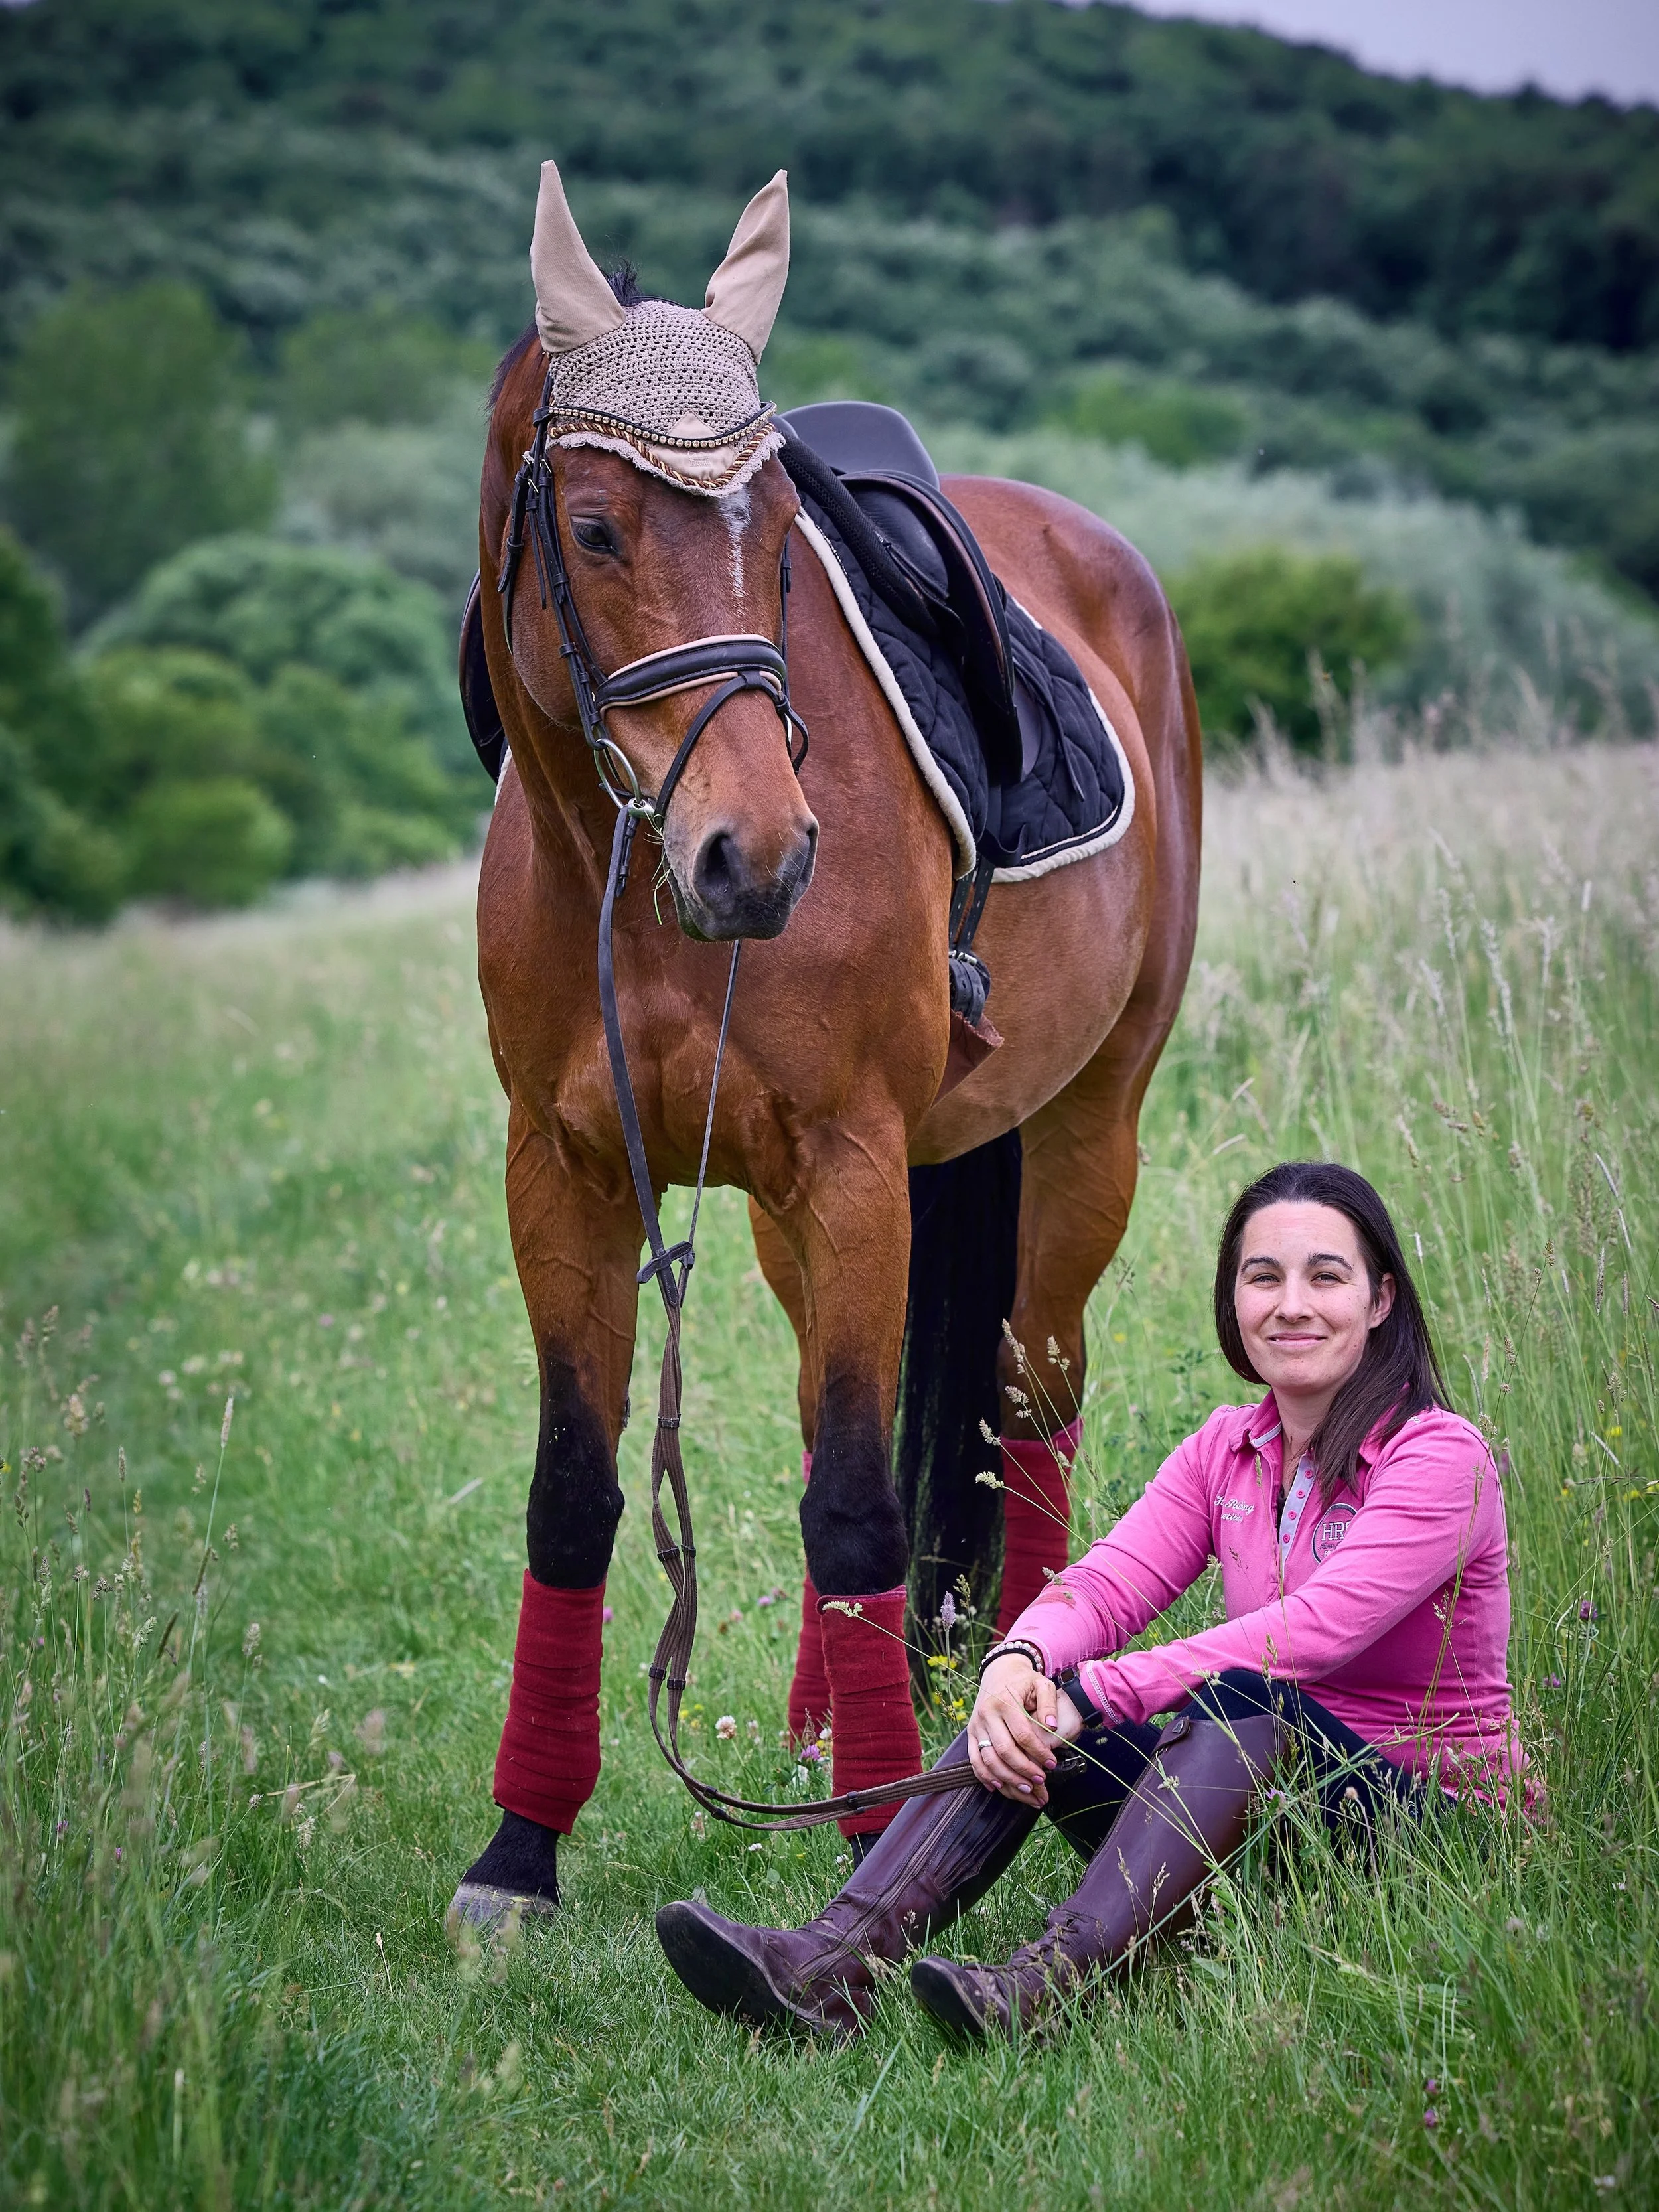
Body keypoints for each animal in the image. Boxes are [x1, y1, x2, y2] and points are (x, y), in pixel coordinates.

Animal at [449, 162, 1202, 1925]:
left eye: (779, 538)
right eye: (595, 528)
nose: (762, 854)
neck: (631, 877)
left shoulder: (855, 1164)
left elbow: (859, 1504)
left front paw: (877, 1837)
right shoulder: (564, 1174)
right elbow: (578, 1494)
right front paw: (520, 1848)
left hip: (1081, 1134)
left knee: (1023, 1396)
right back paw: (815, 1725)